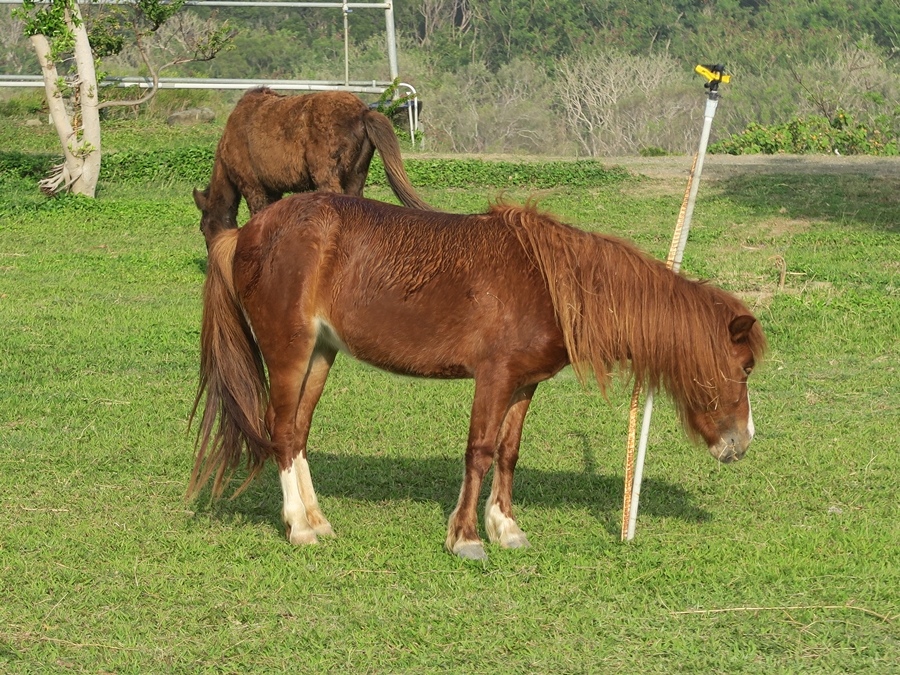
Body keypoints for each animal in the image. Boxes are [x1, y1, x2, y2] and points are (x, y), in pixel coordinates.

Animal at [188, 191, 768, 560]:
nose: (742, 443)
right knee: (282, 431)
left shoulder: (524, 383)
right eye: (743, 367)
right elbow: (480, 451)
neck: (549, 284)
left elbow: (508, 453)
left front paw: (506, 528)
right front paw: (466, 538)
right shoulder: (494, 377)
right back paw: (298, 529)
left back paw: (318, 521)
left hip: (320, 355)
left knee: (299, 434)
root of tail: (248, 230)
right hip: (290, 351)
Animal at [193, 88, 432, 247]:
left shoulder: (253, 187)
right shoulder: (273, 190)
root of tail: (363, 113)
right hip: (356, 176)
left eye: (203, 227)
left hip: (327, 177)